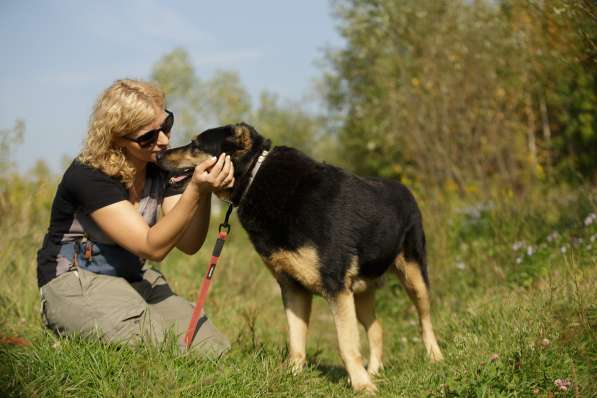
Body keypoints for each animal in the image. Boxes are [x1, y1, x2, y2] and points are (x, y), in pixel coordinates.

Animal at [156, 123, 440, 392]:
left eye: (195, 145)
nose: (158, 154)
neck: (255, 178)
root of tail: (405, 189)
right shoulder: (293, 287)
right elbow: (296, 340)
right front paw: (292, 376)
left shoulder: (336, 289)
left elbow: (346, 344)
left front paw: (361, 386)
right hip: (361, 292)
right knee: (378, 329)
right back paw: (375, 371)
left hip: (414, 277)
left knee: (425, 319)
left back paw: (434, 358)